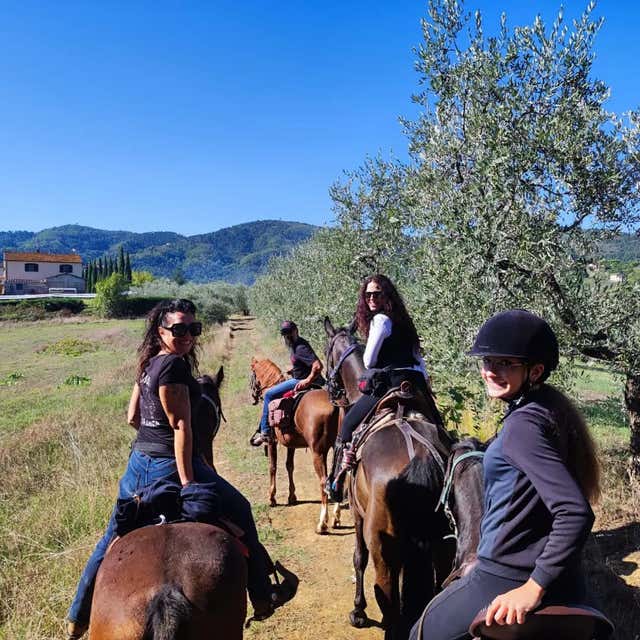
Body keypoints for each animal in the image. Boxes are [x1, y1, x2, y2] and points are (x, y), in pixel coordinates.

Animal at [249, 357, 341, 534]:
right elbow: (289, 466)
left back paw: (322, 523)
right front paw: (292, 497)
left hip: (318, 452)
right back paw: (335, 518)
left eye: (252, 375)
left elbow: (272, 467)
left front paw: (272, 497)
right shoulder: (290, 444)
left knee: (323, 482)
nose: (253, 396)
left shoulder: (272, 441)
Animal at [324, 318, 455, 639]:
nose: (328, 385)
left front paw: (358, 611)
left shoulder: (358, 515)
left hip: (385, 553)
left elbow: (358, 558)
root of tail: (419, 456)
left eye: (327, 351)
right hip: (443, 550)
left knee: (391, 608)